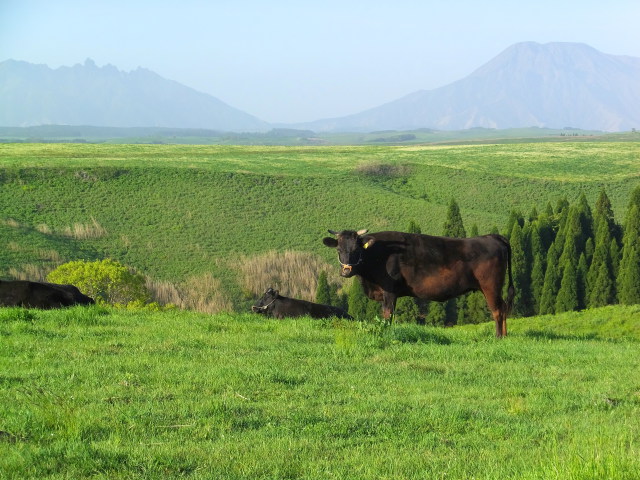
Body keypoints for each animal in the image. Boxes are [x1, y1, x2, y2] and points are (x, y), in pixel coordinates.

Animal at [324, 230, 516, 338]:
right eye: (338, 249)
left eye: (356, 249)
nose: (346, 271)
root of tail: (492, 237)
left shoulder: (389, 291)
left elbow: (387, 314)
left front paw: (386, 332)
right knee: (504, 307)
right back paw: (505, 335)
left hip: (490, 286)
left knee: (497, 310)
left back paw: (498, 336)